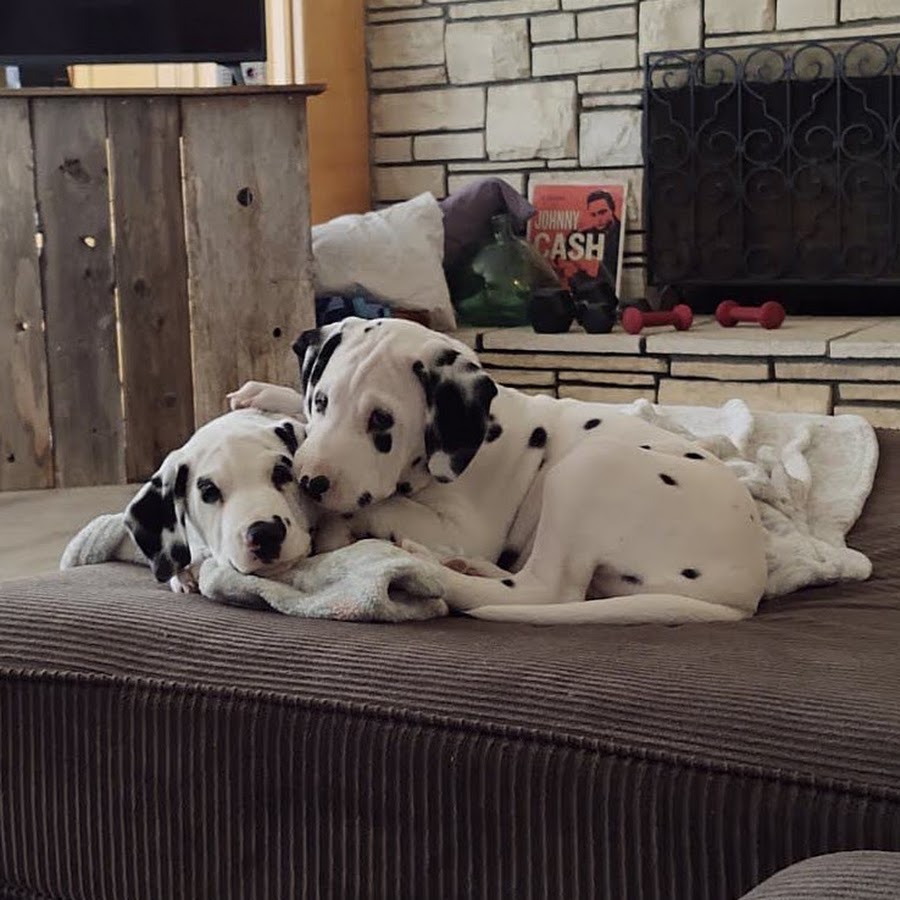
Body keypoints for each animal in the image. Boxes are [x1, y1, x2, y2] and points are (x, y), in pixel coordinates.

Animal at [229, 317, 768, 625]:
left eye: (381, 422)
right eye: (321, 401)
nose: (310, 483)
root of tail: (745, 589)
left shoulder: (465, 526)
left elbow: (389, 503)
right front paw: (269, 393)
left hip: (588, 467)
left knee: (547, 590)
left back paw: (435, 569)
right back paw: (458, 566)